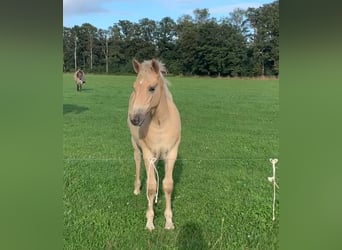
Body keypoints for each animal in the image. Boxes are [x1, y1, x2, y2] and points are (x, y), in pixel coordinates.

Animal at [127, 58, 182, 230]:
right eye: (134, 87)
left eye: (152, 88)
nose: (135, 119)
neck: (160, 123)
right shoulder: (148, 154)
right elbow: (151, 187)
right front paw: (150, 221)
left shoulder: (171, 153)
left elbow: (168, 185)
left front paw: (169, 222)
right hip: (136, 146)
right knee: (137, 162)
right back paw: (137, 189)